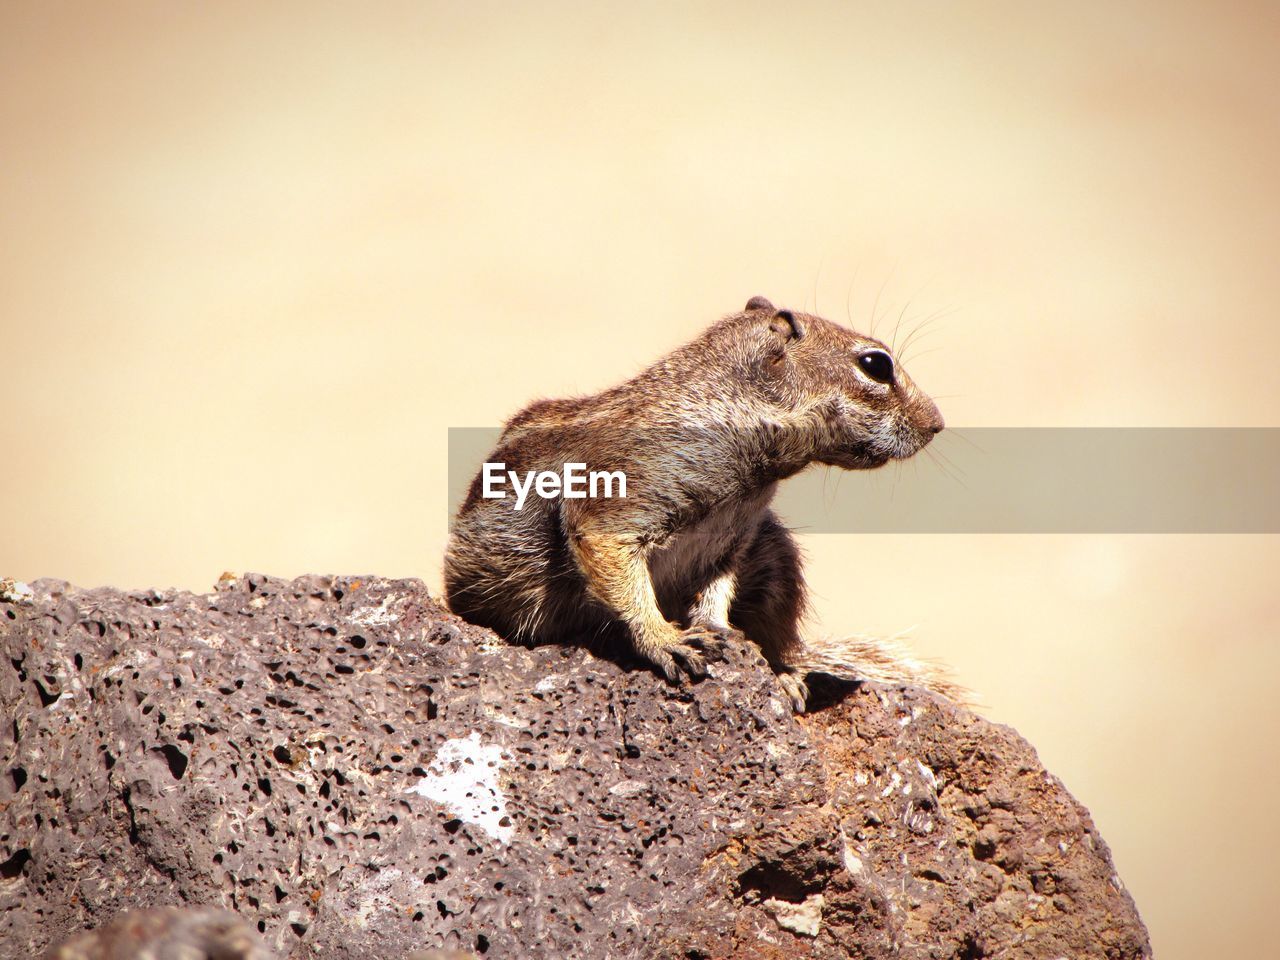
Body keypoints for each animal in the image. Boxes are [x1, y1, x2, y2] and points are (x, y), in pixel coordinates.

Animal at [445, 296, 962, 711]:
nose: (937, 423)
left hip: (775, 554)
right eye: (876, 365)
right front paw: (666, 639)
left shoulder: (735, 537)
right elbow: (616, 564)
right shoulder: (622, 497)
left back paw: (784, 671)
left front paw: (723, 632)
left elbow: (716, 589)